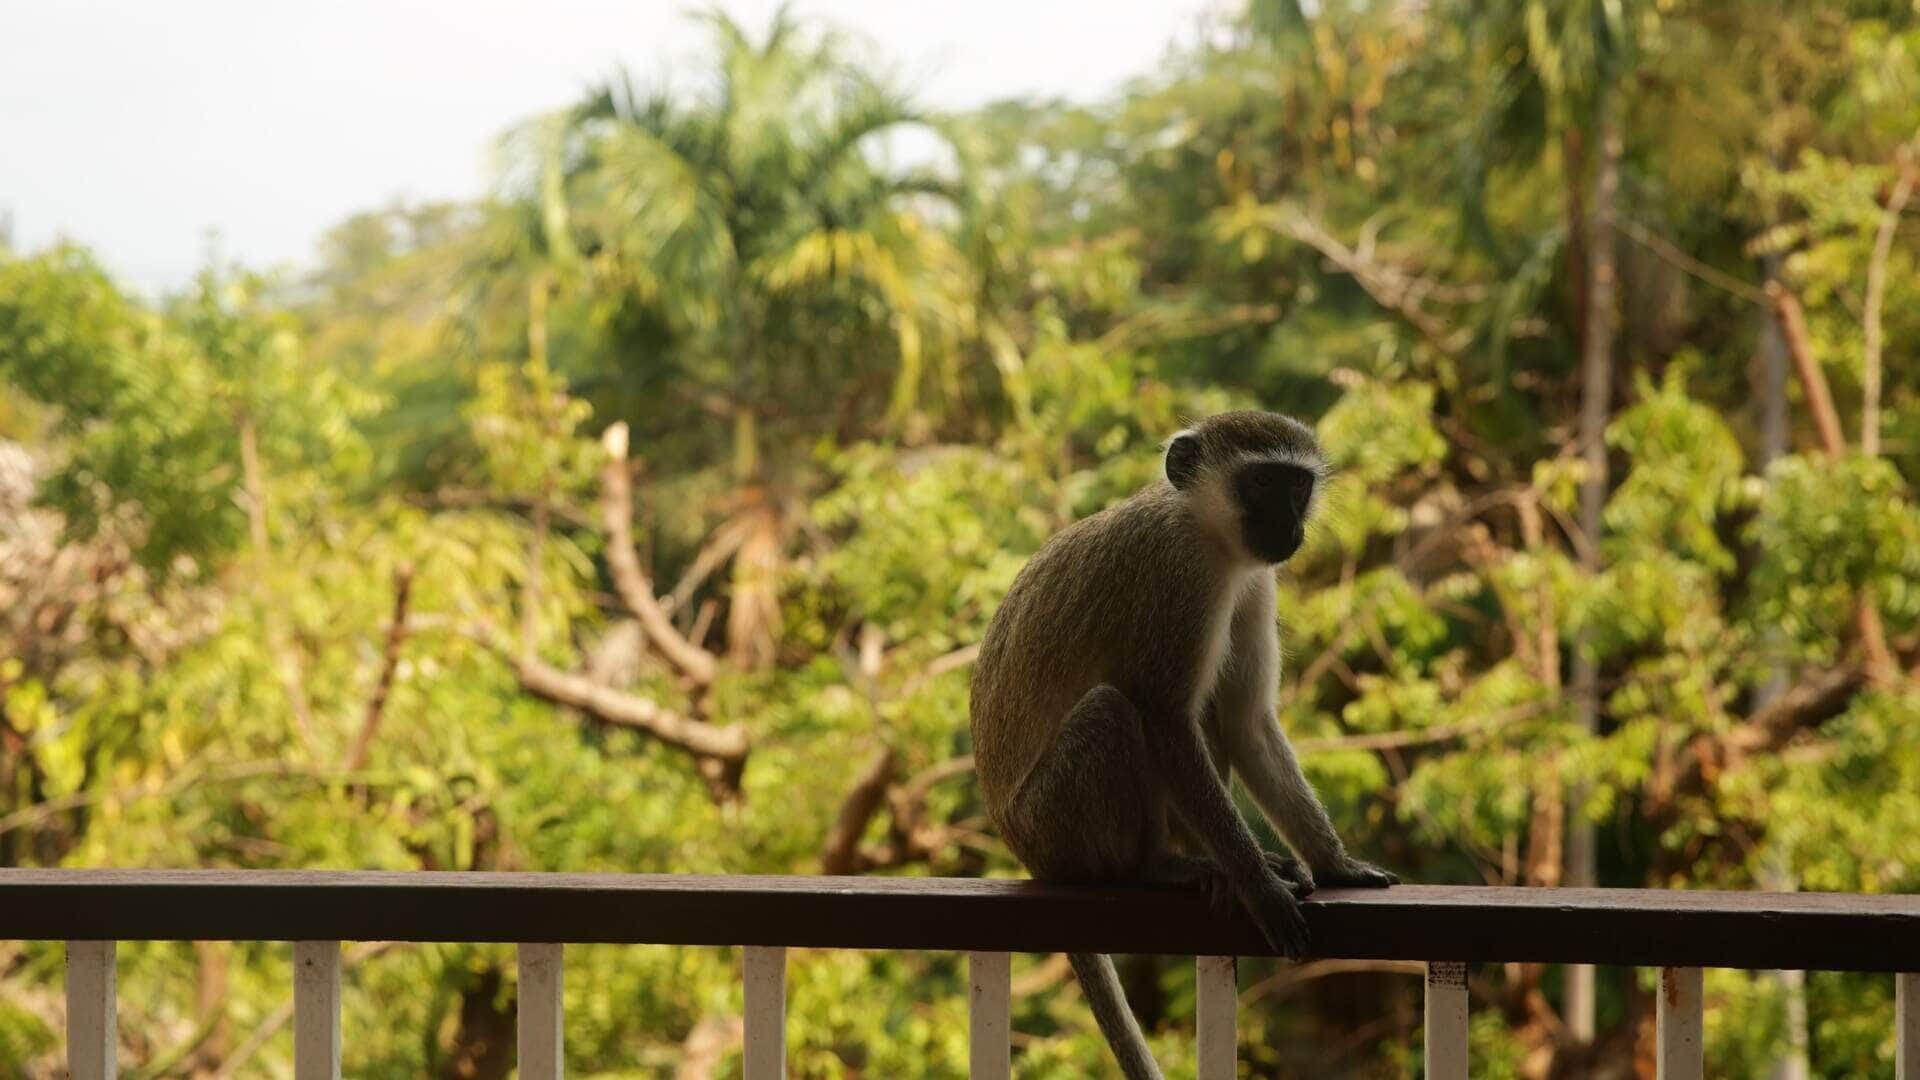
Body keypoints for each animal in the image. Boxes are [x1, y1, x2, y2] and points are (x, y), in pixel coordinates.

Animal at [975, 407, 1397, 1068]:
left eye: (1297, 485)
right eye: (1261, 482)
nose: (1289, 525)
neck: (1203, 525)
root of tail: (1028, 856)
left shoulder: (1253, 582)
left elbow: (1246, 722)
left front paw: (1334, 864)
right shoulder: (1179, 577)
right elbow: (1166, 716)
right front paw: (1258, 887)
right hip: (1054, 823)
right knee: (1115, 712)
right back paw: (1159, 866)